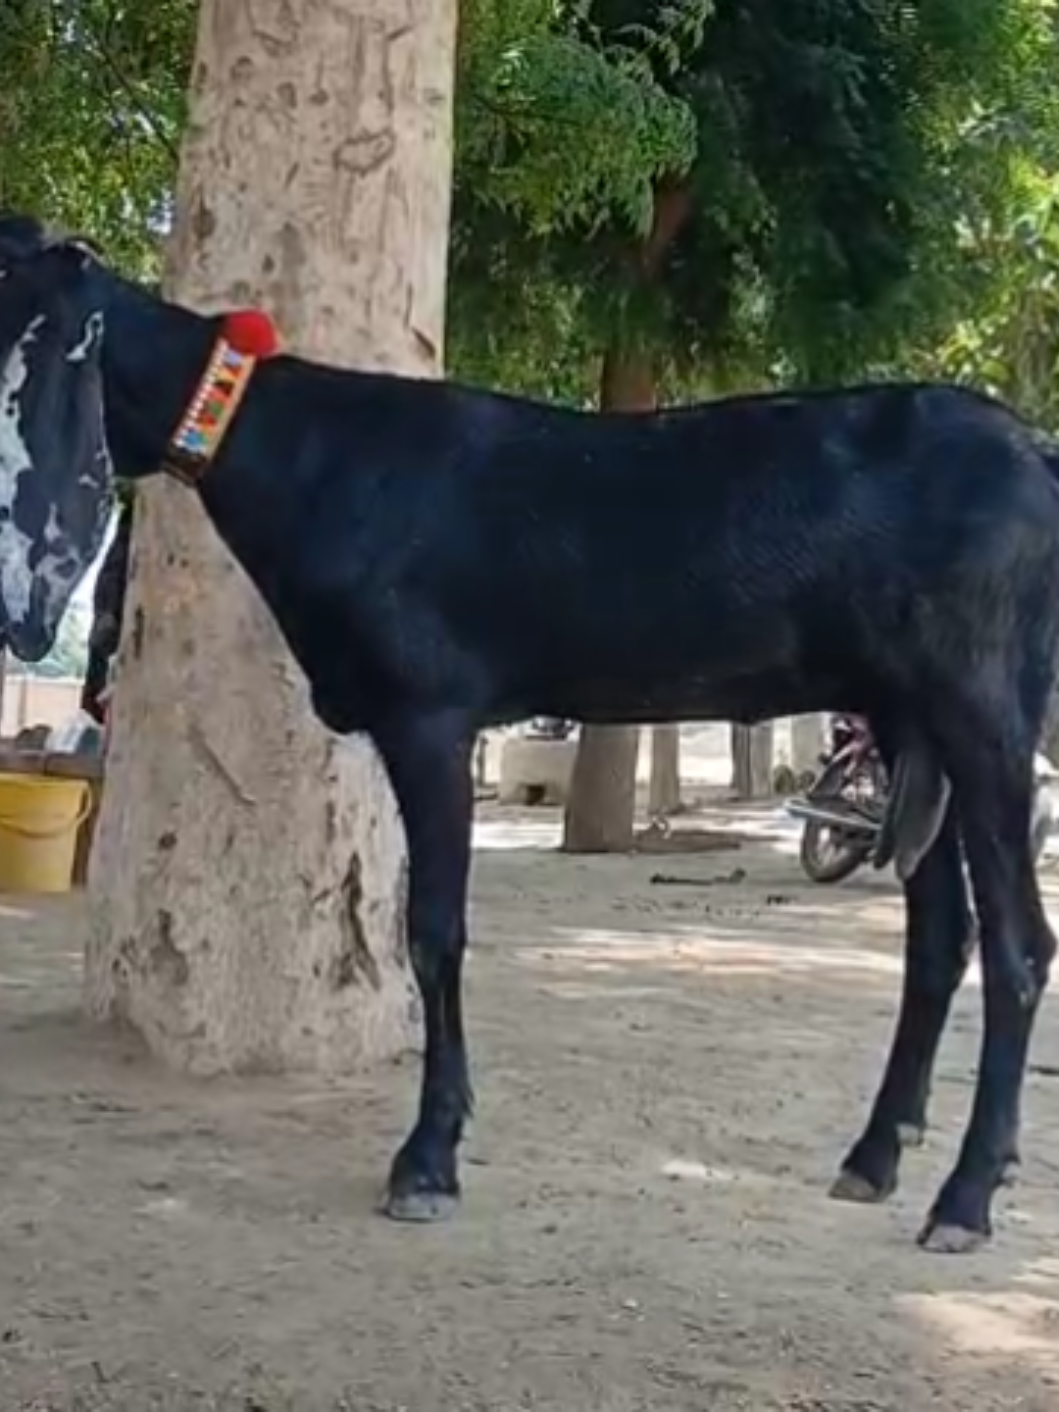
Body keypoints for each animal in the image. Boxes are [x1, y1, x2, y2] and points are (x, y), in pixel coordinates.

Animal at [0, 213, 1054, 1253]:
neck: (311, 454)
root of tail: (1037, 456)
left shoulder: (429, 715)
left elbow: (432, 930)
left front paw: (426, 1161)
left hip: (984, 708)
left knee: (1019, 943)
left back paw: (963, 1198)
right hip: (908, 716)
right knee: (941, 935)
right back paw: (874, 1156)